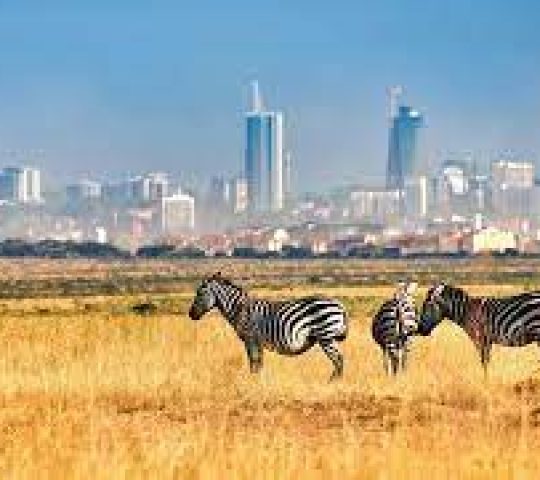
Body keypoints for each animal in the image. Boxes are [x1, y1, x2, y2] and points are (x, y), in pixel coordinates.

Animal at [188, 272, 348, 380]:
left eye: (199, 293)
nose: (191, 315)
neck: (239, 308)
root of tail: (339, 305)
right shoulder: (257, 340)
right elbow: (259, 362)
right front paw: (257, 380)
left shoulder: (251, 338)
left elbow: (253, 361)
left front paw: (253, 381)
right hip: (327, 337)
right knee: (339, 361)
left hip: (325, 336)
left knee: (338, 360)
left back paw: (332, 383)